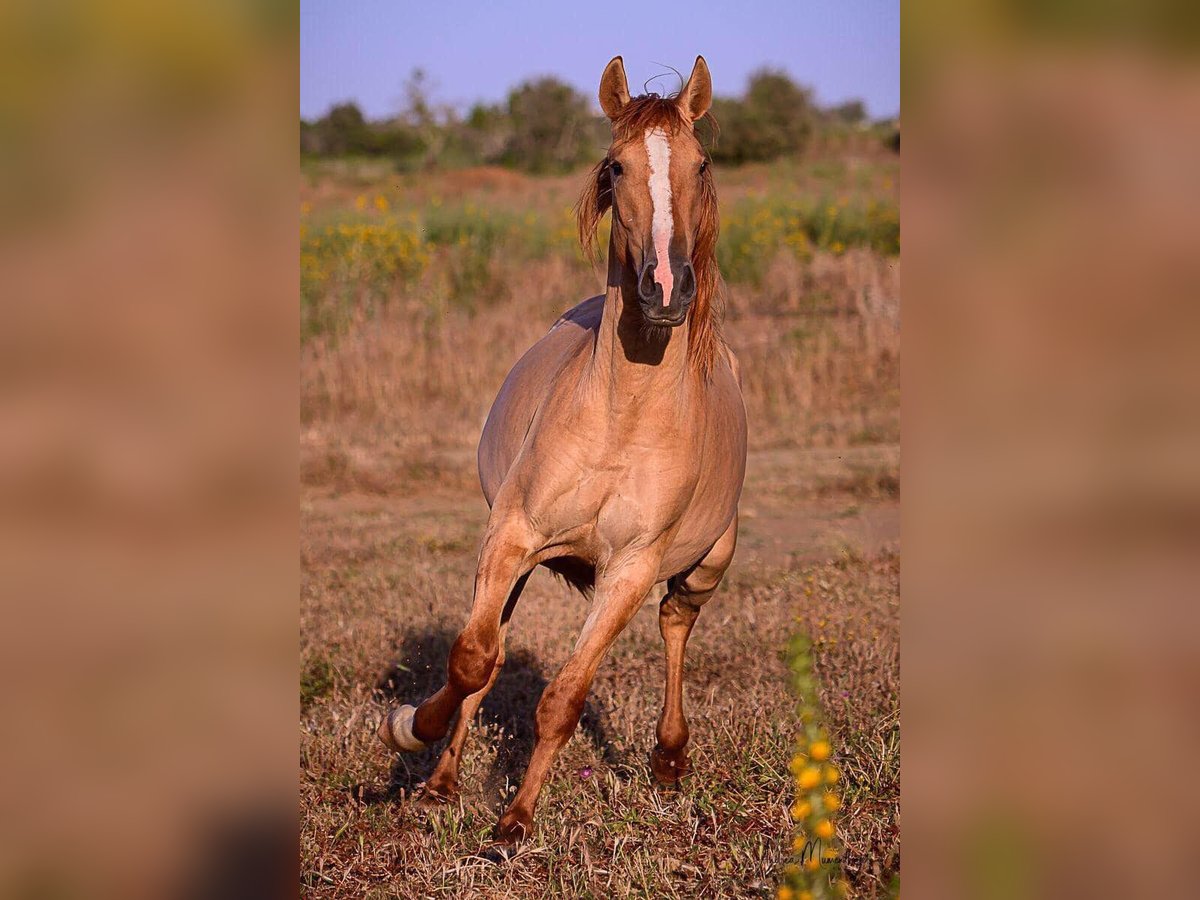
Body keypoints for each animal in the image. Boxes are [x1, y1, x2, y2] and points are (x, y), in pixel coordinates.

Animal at [379, 54, 744, 844]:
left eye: (701, 164)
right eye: (615, 165)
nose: (666, 288)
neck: (621, 420)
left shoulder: (628, 573)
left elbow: (565, 699)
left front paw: (514, 822)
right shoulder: (511, 536)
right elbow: (472, 661)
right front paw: (411, 732)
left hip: (707, 566)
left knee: (676, 625)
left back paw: (669, 758)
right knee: (491, 656)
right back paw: (442, 781)